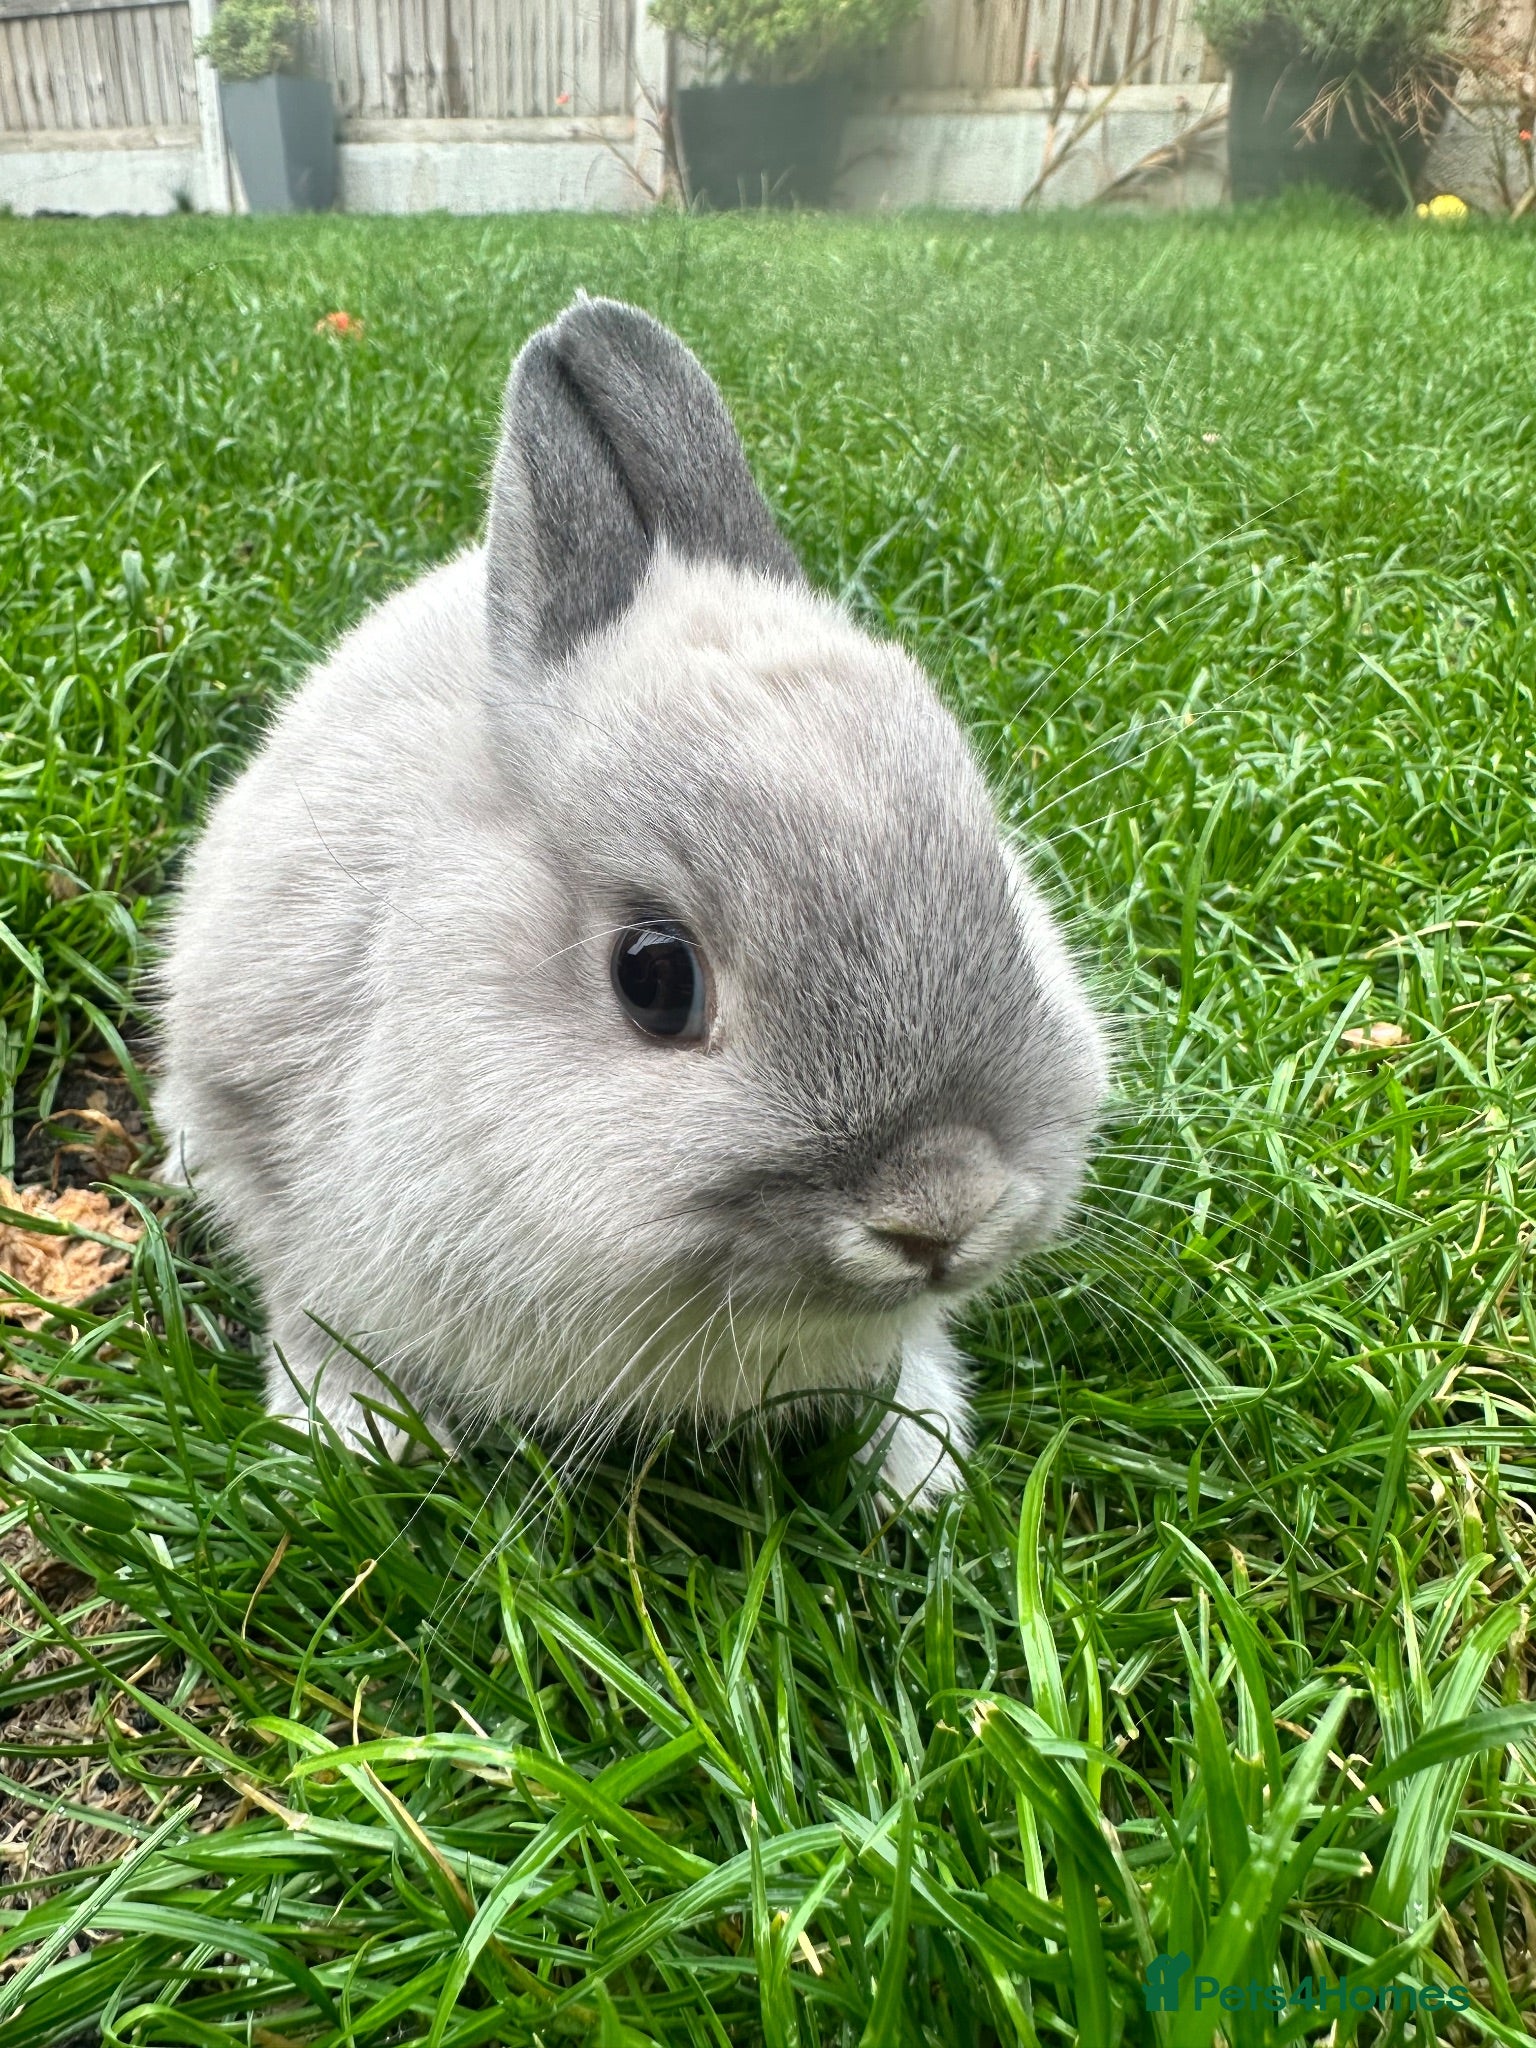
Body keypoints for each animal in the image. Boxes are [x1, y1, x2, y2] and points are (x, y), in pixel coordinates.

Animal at [154, 295, 1109, 1509]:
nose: (942, 1213)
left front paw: (920, 1467)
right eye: (654, 977)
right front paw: (359, 1438)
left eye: (1007, 894)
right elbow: (307, 1307)